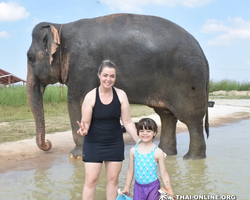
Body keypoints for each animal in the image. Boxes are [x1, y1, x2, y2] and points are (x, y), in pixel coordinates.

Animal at [26, 12, 209, 159]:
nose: (47, 143)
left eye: (30, 57)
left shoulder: (82, 66)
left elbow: (76, 102)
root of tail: (202, 51)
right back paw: (165, 153)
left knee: (191, 119)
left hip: (188, 79)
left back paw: (192, 159)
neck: (60, 26)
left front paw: (76, 157)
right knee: (166, 115)